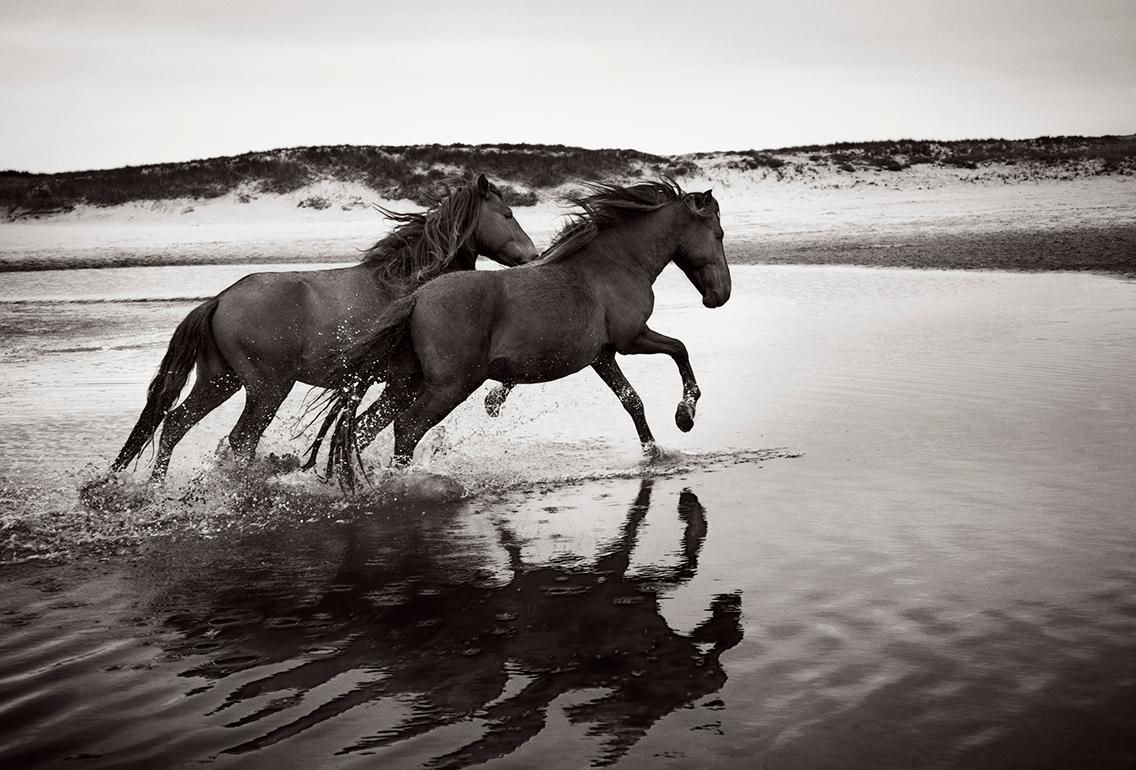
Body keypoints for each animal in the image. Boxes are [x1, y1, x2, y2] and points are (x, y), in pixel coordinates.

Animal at [111, 173, 540, 481]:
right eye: (507, 215)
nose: (533, 256)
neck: (409, 285)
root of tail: (219, 299)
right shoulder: (408, 381)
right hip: (266, 389)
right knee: (240, 439)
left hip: (219, 380)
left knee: (174, 424)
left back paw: (157, 487)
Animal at [320, 179, 731, 481]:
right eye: (719, 234)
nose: (721, 295)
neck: (613, 265)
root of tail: (417, 297)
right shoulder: (632, 339)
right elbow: (680, 349)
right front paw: (685, 415)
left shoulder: (603, 356)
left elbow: (632, 401)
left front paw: (654, 452)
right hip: (449, 385)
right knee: (405, 427)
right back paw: (400, 482)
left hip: (406, 382)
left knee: (362, 427)